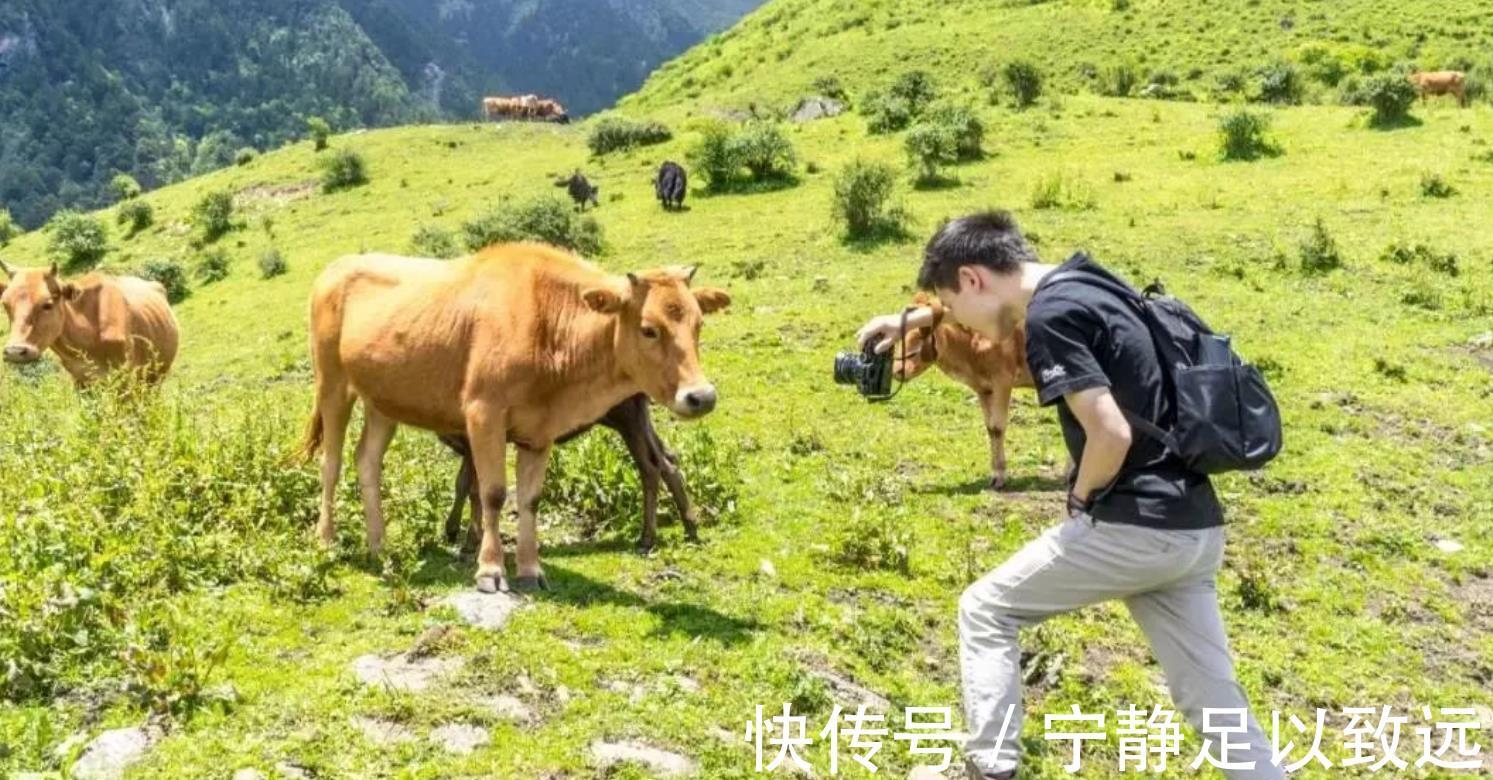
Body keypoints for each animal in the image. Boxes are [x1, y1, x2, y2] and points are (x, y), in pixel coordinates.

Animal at [0, 258, 177, 385]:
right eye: (5, 304)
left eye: (47, 304)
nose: (15, 351)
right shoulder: (80, 381)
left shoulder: (125, 377)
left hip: (156, 374)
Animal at [435, 394, 698, 552]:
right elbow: (463, 484)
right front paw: (451, 530)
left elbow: (472, 488)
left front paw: (469, 541)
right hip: (630, 418)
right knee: (668, 460)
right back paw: (690, 528)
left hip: (627, 416)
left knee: (651, 467)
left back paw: (647, 538)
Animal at [889, 291, 1033, 484]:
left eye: (922, 333)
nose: (898, 370)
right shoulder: (983, 388)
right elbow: (990, 428)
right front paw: (995, 472)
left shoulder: (1003, 381)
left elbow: (998, 427)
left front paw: (1000, 476)